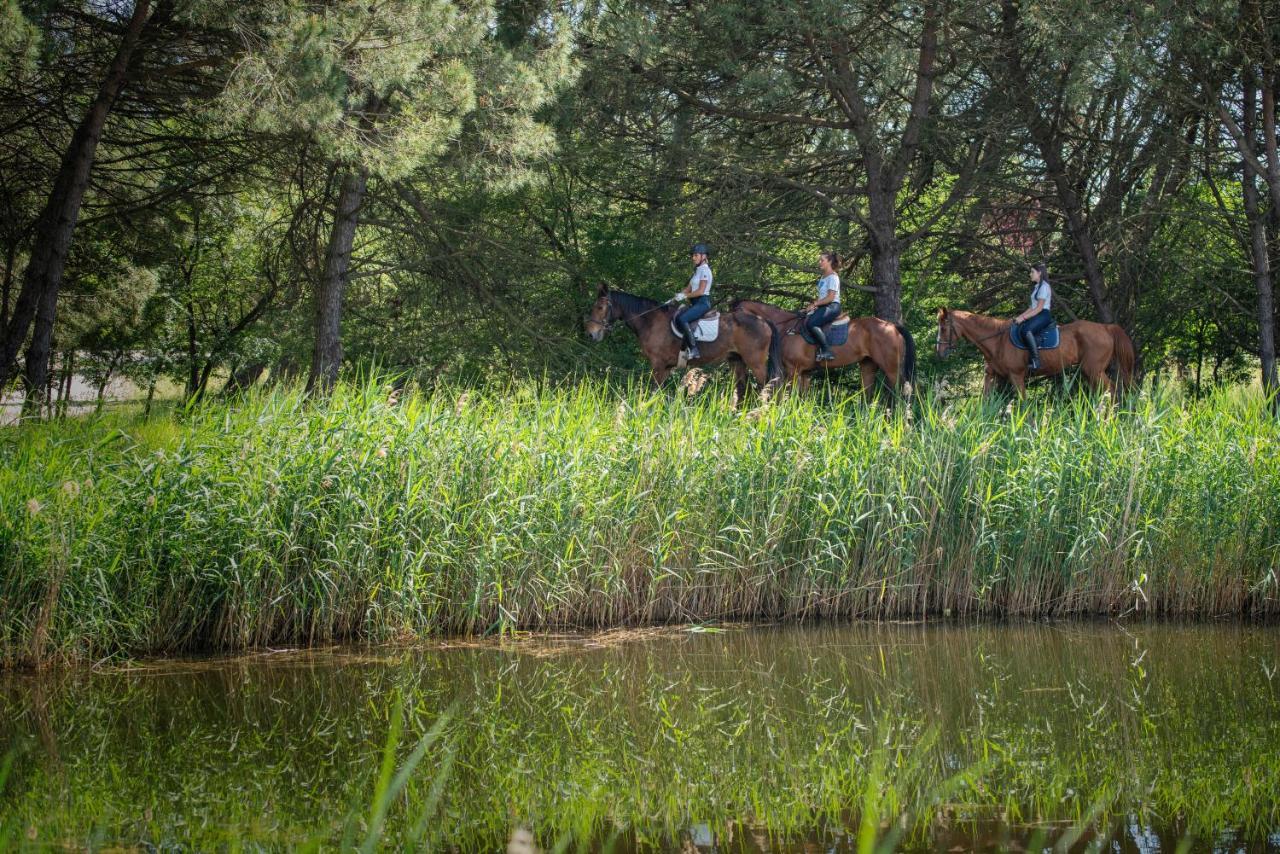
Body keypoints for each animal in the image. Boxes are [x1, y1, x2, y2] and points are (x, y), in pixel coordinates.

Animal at [583, 281, 778, 399]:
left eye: (600, 307)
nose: (591, 334)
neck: (650, 321)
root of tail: (763, 321)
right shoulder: (666, 368)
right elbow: (657, 394)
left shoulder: (658, 365)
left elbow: (653, 391)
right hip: (737, 361)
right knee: (743, 390)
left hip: (756, 362)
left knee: (768, 387)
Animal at [727, 297, 916, 396]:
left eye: (735, 315)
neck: (786, 328)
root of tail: (891, 326)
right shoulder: (804, 373)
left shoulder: (793, 370)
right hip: (868, 366)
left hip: (891, 368)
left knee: (902, 392)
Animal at [936, 307, 1136, 396]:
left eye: (944, 329)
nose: (939, 351)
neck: (996, 341)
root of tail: (1106, 328)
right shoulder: (991, 375)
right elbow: (984, 402)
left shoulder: (1016, 376)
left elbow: (1022, 402)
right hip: (1090, 372)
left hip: (1094, 370)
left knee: (1111, 389)